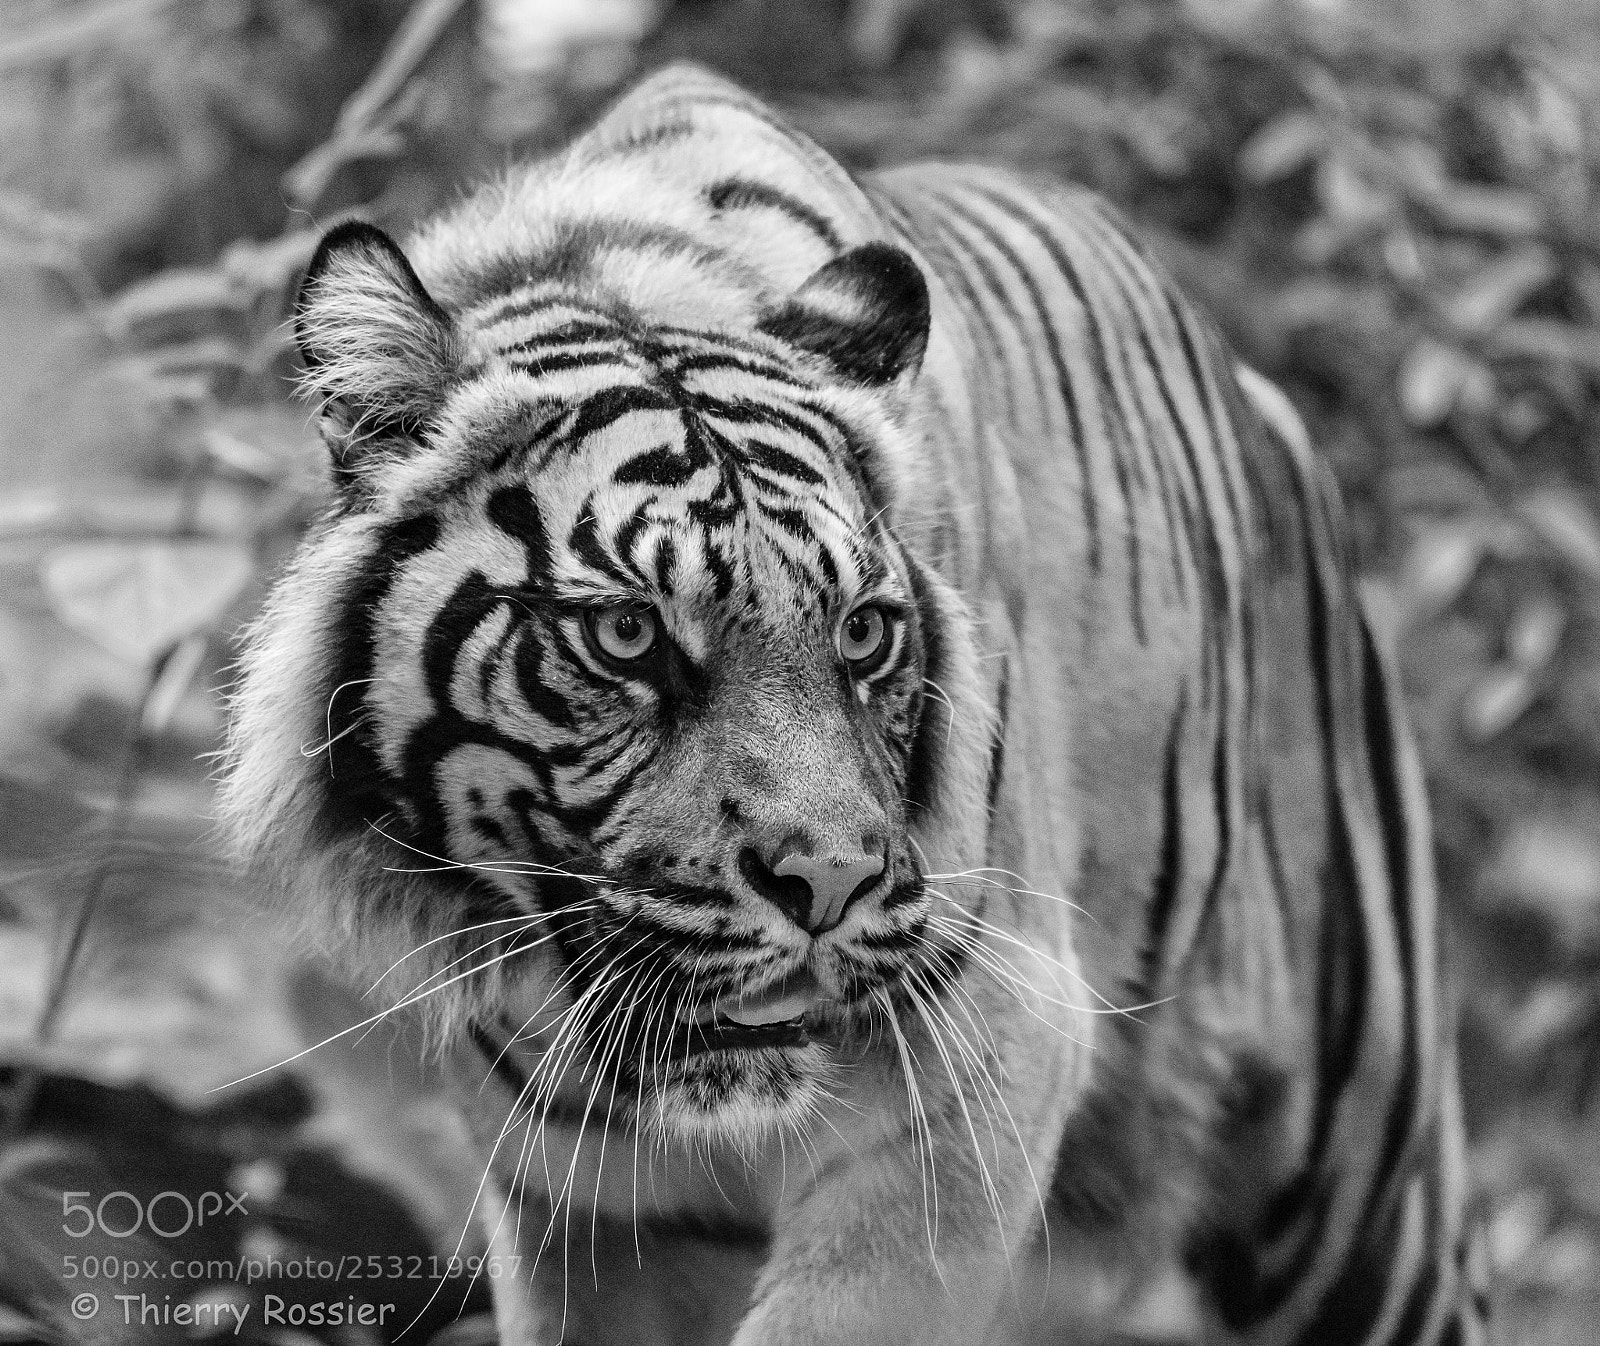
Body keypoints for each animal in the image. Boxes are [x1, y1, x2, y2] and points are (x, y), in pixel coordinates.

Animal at [221, 63, 1488, 1346]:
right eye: (627, 631)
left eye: (862, 631)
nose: (828, 882)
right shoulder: (585, 1202)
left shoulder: (975, 1062)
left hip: (1358, 1196)